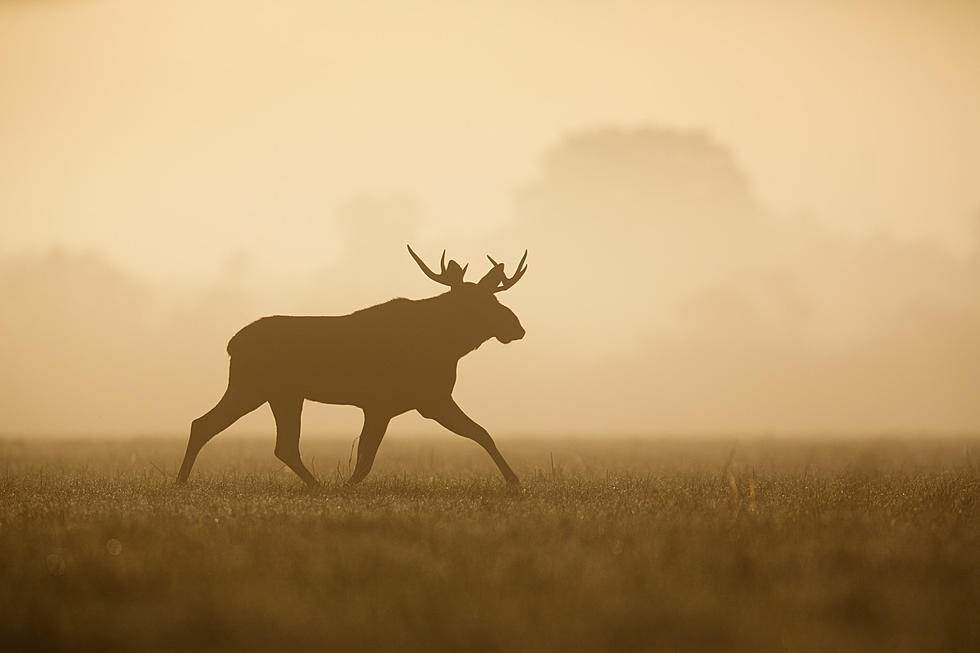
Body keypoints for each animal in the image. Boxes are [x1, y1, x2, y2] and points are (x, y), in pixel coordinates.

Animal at [176, 244, 528, 484]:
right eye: (478, 302)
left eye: (495, 297)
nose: (517, 327)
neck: (449, 348)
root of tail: (231, 344)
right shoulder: (401, 402)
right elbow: (366, 458)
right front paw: (513, 481)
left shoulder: (422, 401)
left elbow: (481, 433)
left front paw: (513, 481)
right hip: (252, 386)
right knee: (206, 425)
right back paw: (181, 481)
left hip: (283, 395)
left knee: (278, 444)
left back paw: (315, 486)